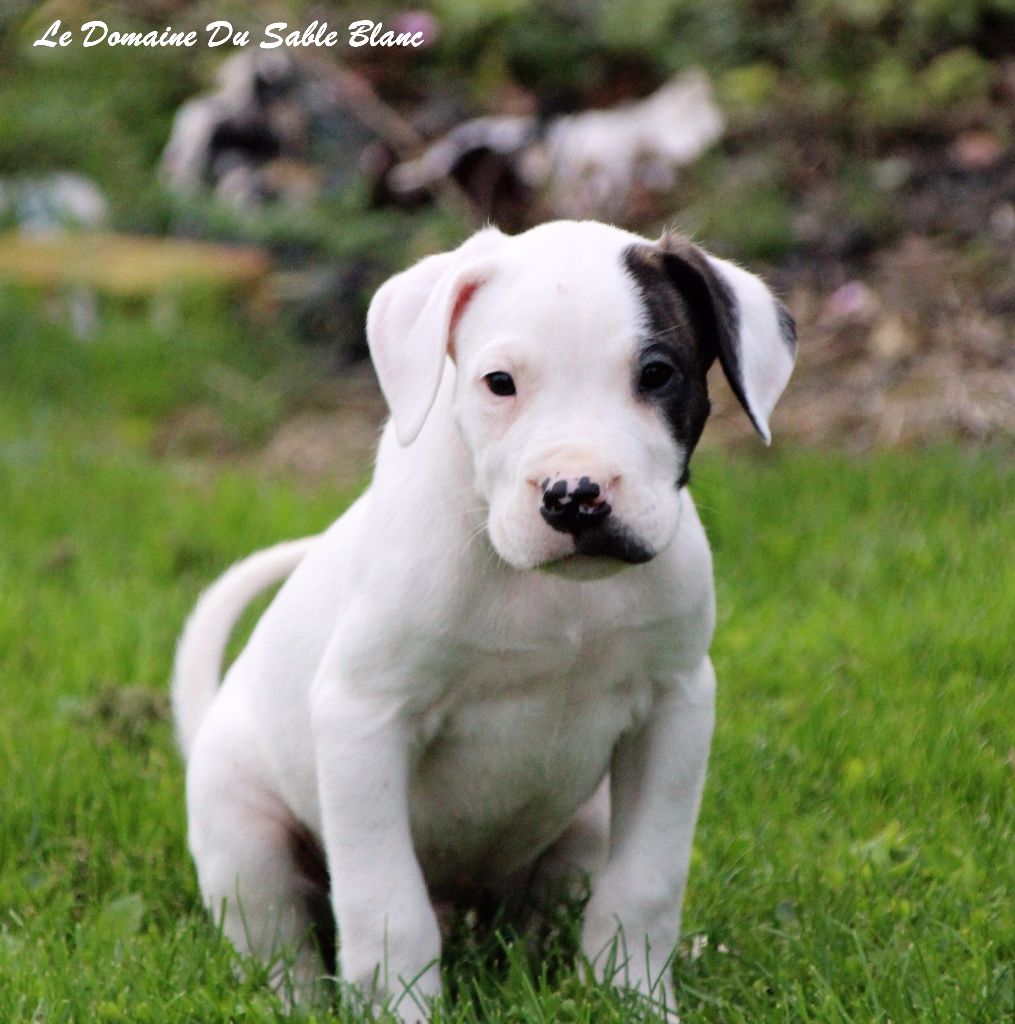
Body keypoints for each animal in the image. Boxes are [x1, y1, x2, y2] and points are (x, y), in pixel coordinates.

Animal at [172, 219, 795, 1020]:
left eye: (657, 374)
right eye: (500, 383)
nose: (574, 496)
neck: (554, 595)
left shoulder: (676, 707)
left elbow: (644, 886)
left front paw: (634, 999)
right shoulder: (364, 719)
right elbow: (385, 910)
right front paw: (401, 1010)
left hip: (584, 823)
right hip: (245, 838)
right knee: (283, 946)